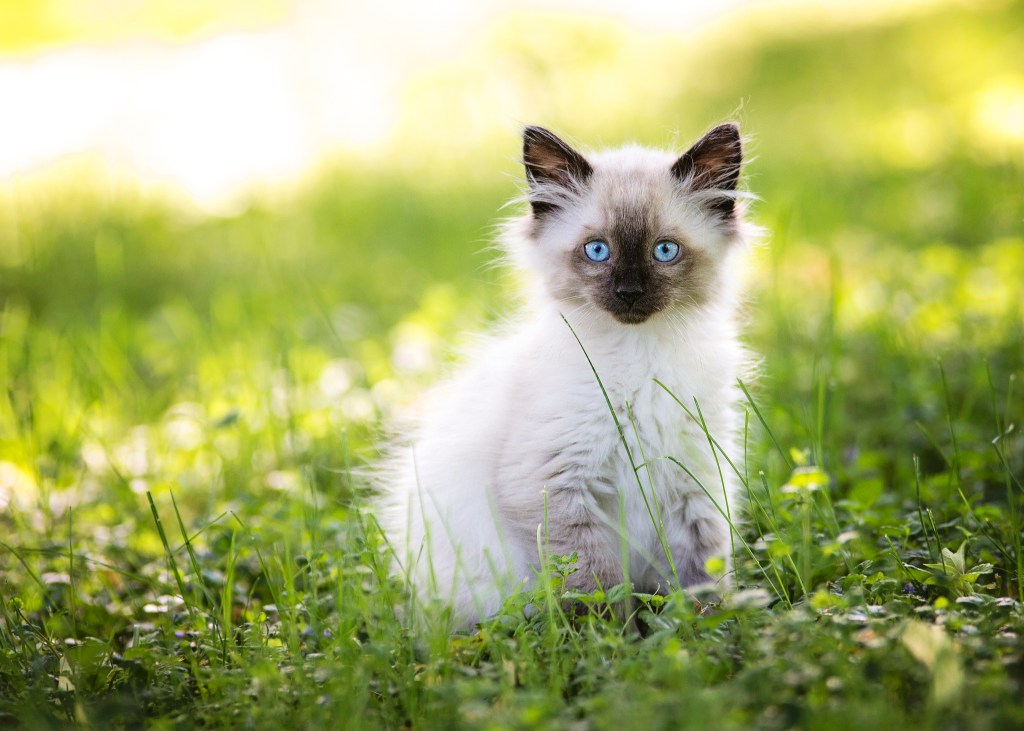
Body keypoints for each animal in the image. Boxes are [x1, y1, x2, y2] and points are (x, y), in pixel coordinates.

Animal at [376, 120, 753, 626]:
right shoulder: (555, 482)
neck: (638, 359)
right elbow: (596, 585)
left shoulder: (695, 476)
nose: (629, 293)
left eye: (664, 251)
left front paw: (708, 622)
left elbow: (702, 568)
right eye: (597, 251)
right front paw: (618, 637)